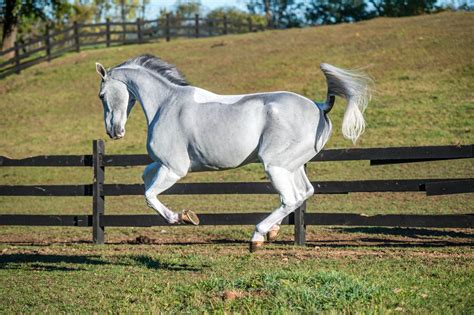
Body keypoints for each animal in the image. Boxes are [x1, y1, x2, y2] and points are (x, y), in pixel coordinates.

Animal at [95, 55, 370, 252]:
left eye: (101, 95)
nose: (113, 131)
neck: (167, 103)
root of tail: (319, 106)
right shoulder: (162, 164)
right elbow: (145, 177)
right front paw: (184, 215)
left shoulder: (174, 168)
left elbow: (149, 195)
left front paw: (182, 217)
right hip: (293, 166)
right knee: (303, 193)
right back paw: (272, 231)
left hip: (275, 165)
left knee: (290, 198)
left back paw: (257, 237)